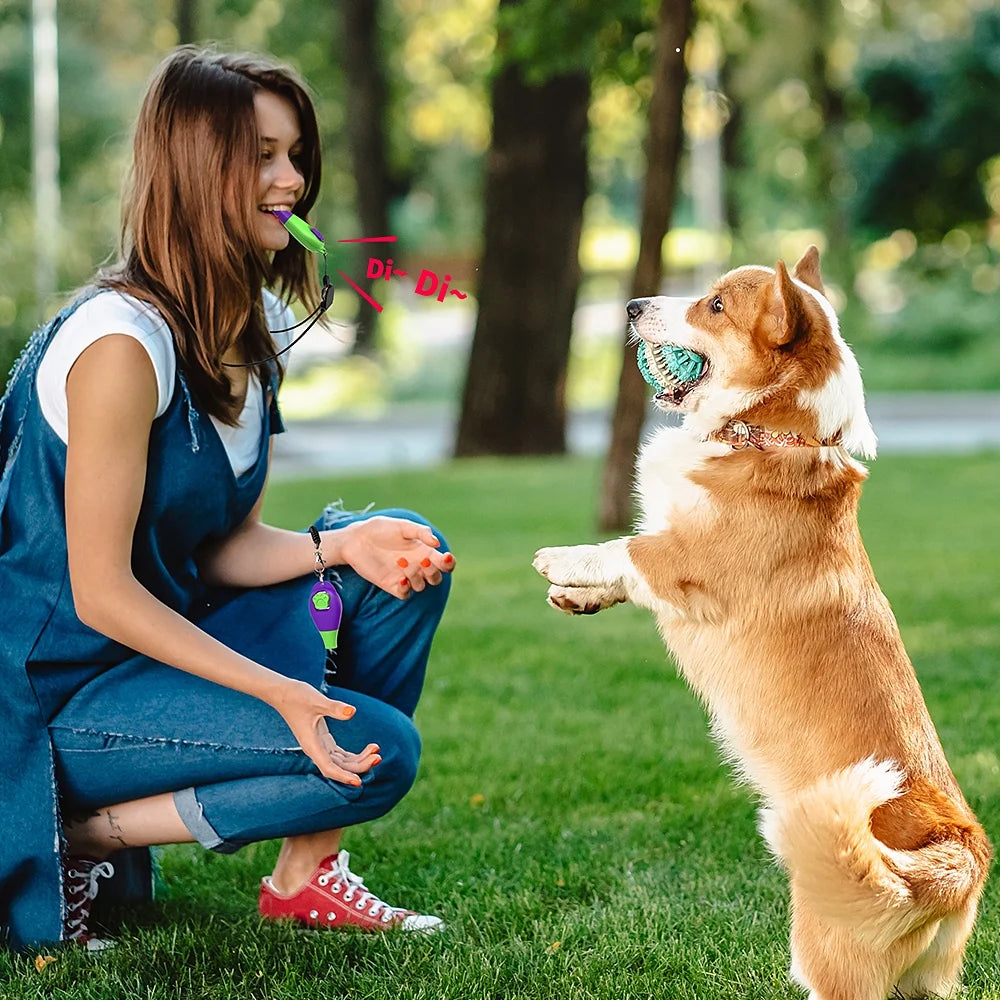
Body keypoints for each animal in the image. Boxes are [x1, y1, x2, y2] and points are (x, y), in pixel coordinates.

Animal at [536, 248, 988, 1000]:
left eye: (715, 306)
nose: (631, 307)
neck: (769, 435)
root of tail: (960, 858)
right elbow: (622, 571)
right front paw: (576, 597)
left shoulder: (686, 562)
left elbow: (626, 549)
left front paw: (561, 561)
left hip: (828, 945)